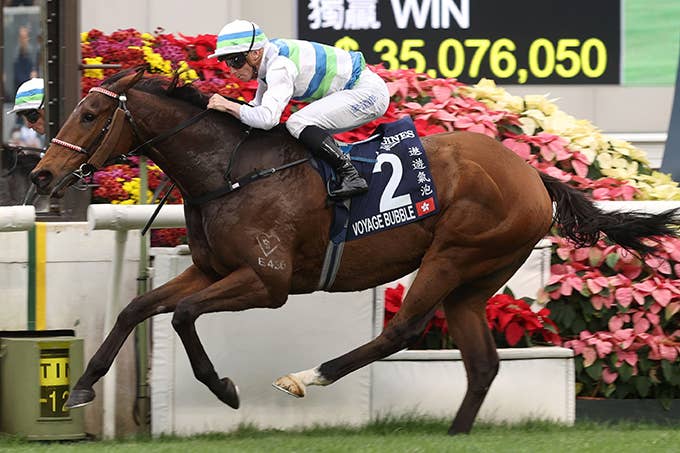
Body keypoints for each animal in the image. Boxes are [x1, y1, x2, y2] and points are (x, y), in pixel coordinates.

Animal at [29, 68, 680, 434]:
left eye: (90, 113)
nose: (41, 175)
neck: (230, 172)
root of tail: (532, 175)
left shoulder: (267, 282)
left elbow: (184, 316)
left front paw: (223, 389)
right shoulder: (212, 269)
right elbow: (136, 309)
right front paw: (83, 387)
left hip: (454, 253)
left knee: (403, 331)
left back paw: (307, 376)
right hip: (477, 280)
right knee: (482, 364)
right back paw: (455, 433)